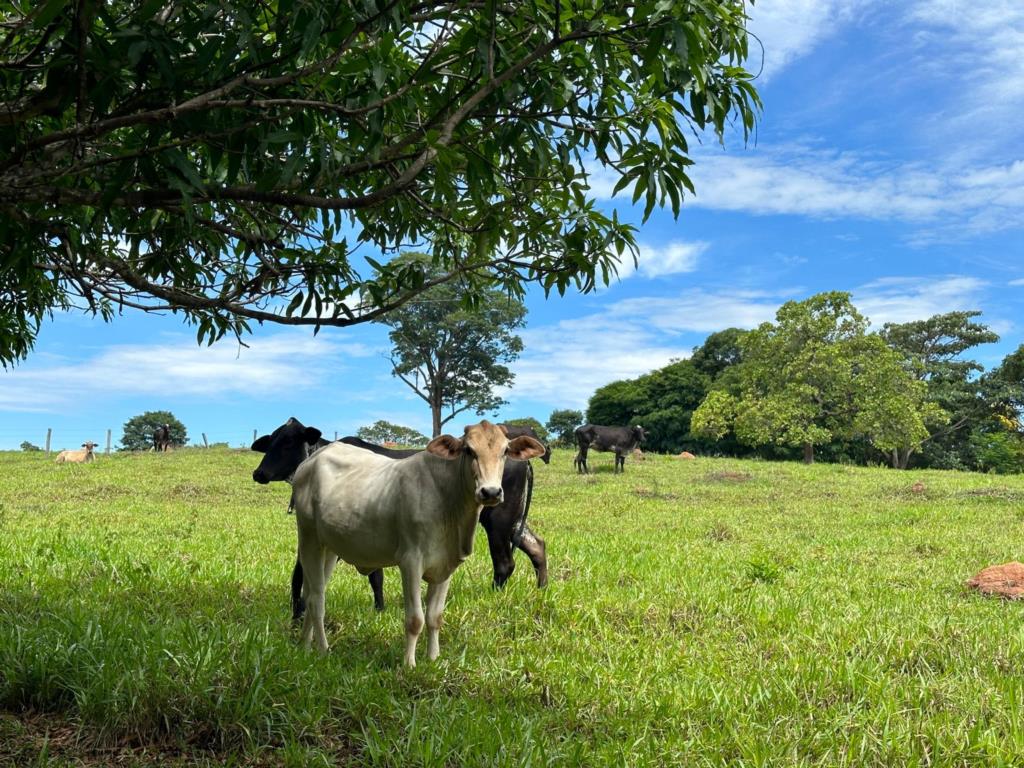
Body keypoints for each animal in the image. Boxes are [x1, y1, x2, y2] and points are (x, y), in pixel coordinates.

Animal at [290, 421, 544, 667]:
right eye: (469, 450)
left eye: (504, 451)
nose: (490, 492)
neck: (447, 498)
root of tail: (310, 461)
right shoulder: (411, 562)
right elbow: (415, 619)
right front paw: (409, 664)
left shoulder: (446, 566)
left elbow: (435, 617)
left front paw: (433, 659)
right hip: (309, 538)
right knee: (316, 599)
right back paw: (322, 649)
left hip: (329, 548)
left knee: (311, 593)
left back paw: (305, 646)